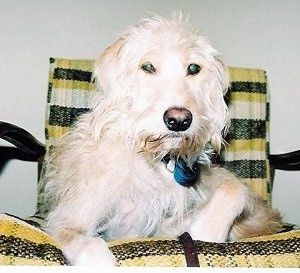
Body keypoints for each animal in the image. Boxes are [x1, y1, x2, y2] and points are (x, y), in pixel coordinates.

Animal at [43, 13, 282, 264]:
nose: (179, 120)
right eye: (147, 67)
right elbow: (91, 247)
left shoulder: (163, 227)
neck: (150, 157)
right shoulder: (66, 222)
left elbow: (235, 187)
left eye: (194, 68)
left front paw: (209, 230)